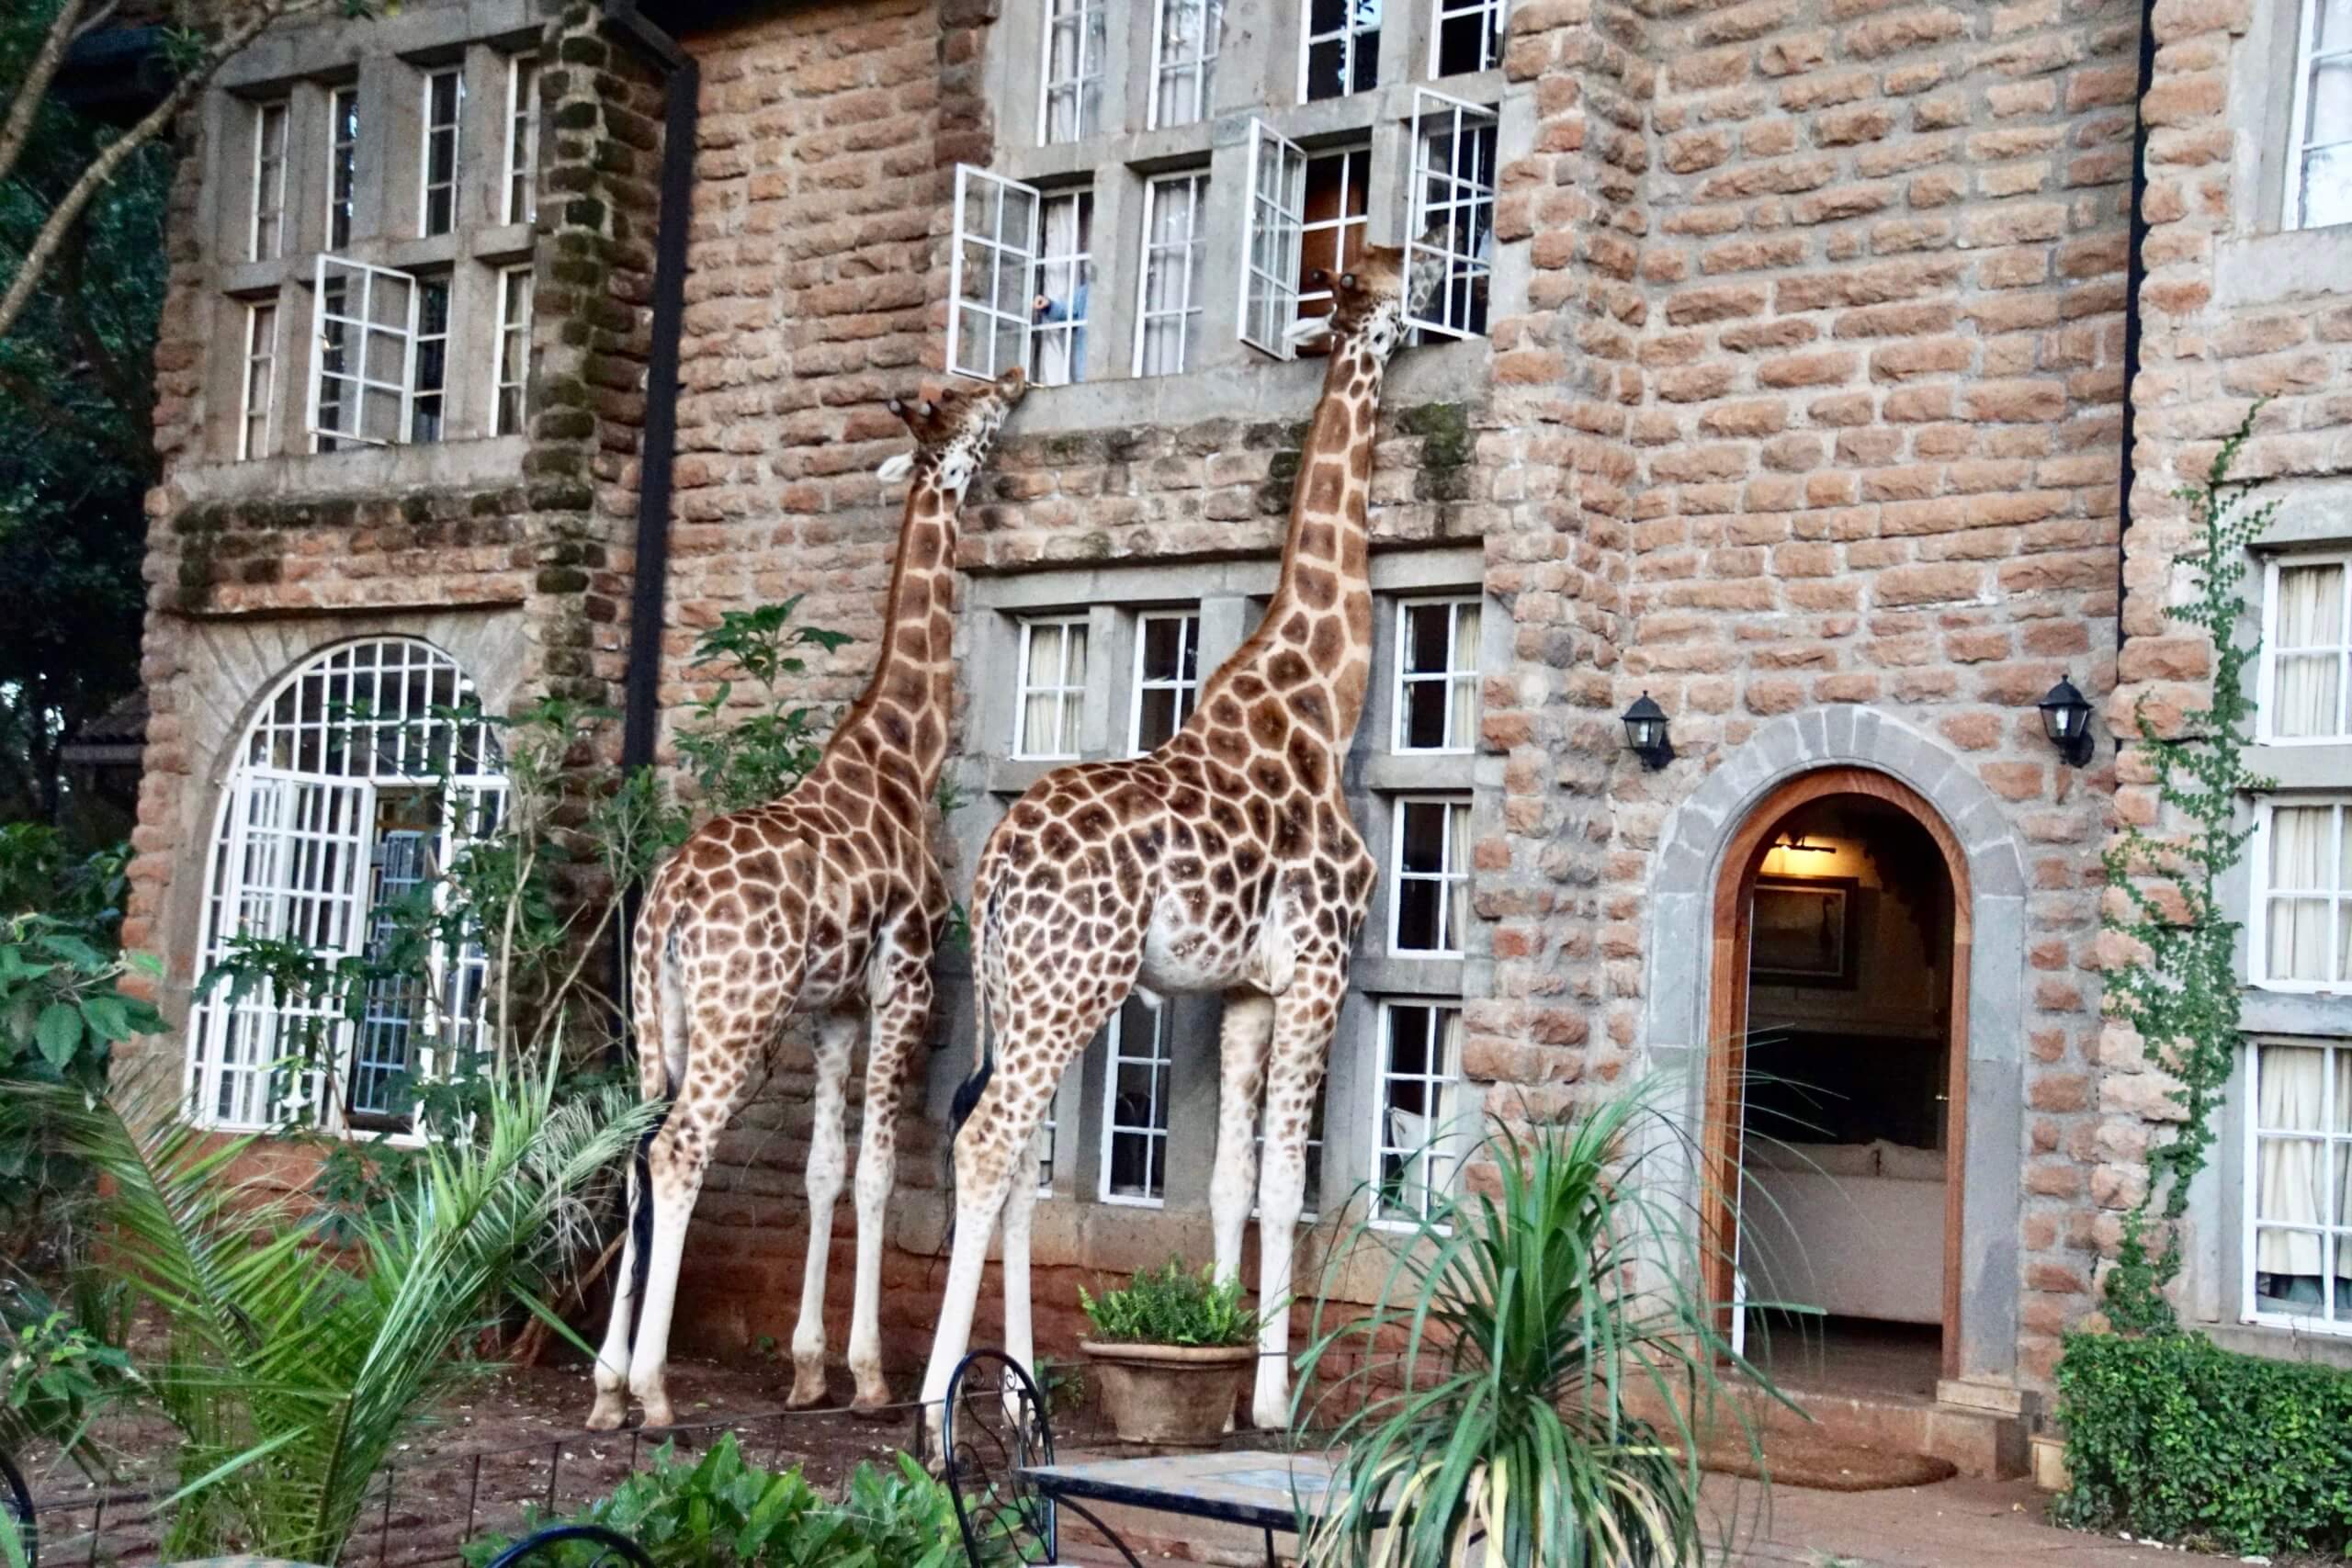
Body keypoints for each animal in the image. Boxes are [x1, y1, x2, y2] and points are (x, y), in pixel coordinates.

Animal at [587, 366, 1027, 1431]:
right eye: (971, 408)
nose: (1017, 377)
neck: (902, 754)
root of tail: (667, 905)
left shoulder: (834, 1008)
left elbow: (823, 1171)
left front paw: (808, 1368)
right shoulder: (906, 979)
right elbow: (874, 1172)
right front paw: (868, 1377)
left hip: (658, 1017)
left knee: (634, 1154)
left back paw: (607, 1387)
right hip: (738, 1014)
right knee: (679, 1151)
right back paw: (653, 1391)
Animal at [916, 247, 1435, 1437]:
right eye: (1388, 275)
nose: (1440, 271)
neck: (1321, 698)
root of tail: (997, 870)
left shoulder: (1245, 988)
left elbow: (1229, 1183)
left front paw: (1215, 1353)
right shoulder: (1321, 966)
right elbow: (1284, 1182)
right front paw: (1276, 1399)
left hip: (1025, 989)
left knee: (1008, 1155)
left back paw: (1011, 1395)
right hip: (1075, 984)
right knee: (986, 1140)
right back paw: (930, 1411)